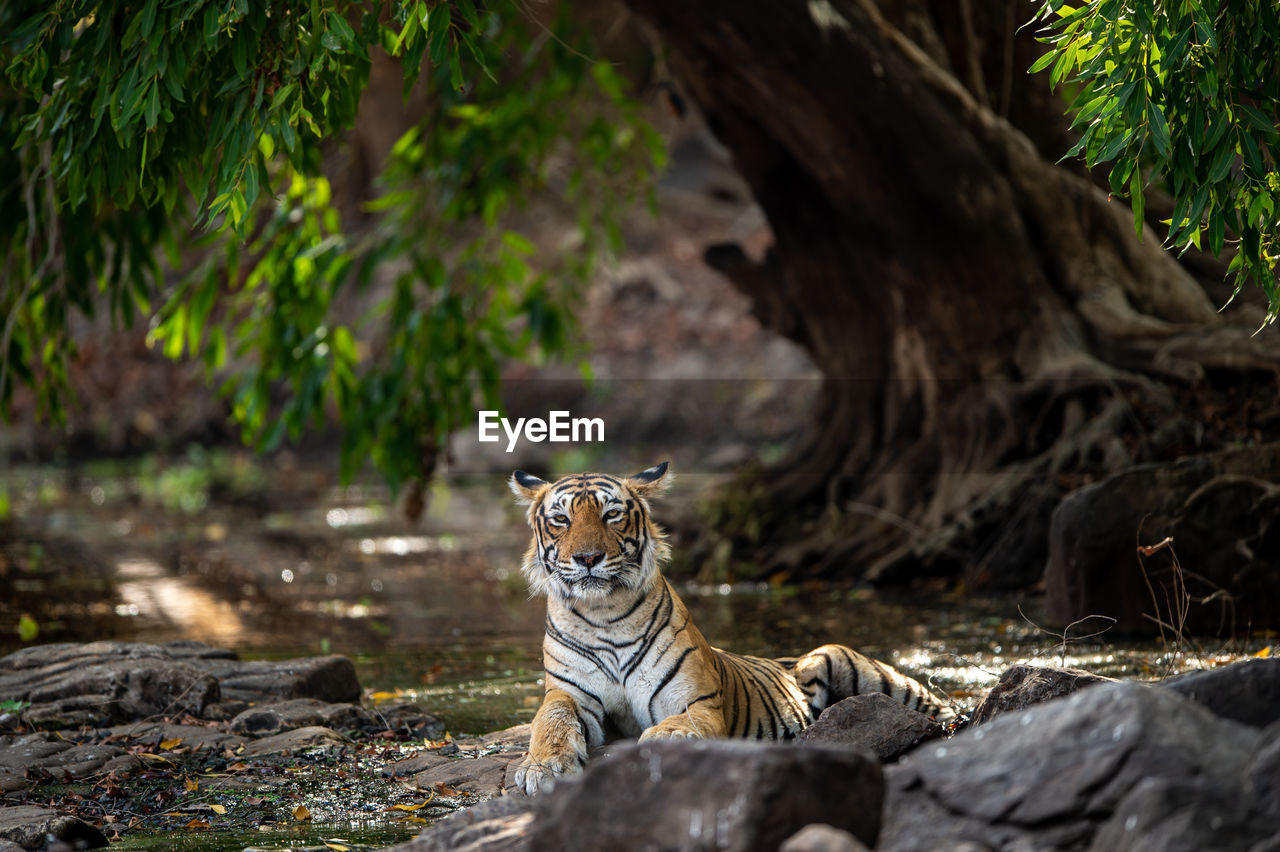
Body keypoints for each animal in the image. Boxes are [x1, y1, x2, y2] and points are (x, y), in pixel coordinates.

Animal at [504, 460, 957, 793]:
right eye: (561, 519)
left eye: (611, 515)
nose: (587, 558)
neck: (605, 613)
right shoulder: (570, 694)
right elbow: (550, 719)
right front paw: (542, 766)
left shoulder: (697, 699)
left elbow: (680, 724)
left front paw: (661, 741)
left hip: (839, 660)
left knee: (932, 705)